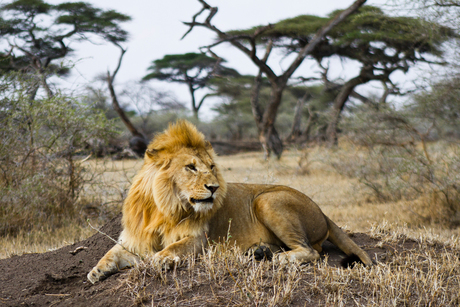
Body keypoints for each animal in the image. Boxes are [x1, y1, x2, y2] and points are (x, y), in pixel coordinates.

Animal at [87, 120, 374, 284]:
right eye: (191, 167)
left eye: (212, 167)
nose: (213, 187)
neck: (164, 207)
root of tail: (324, 213)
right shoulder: (134, 239)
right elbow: (110, 253)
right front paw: (96, 272)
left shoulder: (198, 240)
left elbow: (173, 248)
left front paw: (160, 259)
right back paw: (260, 252)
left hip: (267, 200)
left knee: (312, 251)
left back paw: (279, 259)